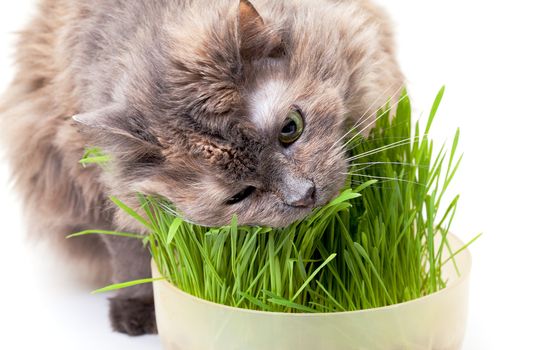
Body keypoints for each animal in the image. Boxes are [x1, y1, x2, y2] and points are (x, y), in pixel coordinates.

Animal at [0, 0, 400, 336]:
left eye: (291, 128)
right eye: (239, 195)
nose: (304, 195)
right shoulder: (100, 190)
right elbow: (131, 256)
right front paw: (137, 311)